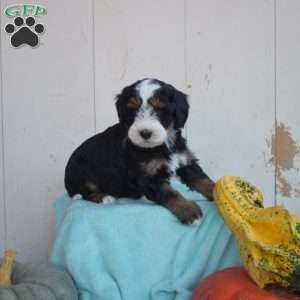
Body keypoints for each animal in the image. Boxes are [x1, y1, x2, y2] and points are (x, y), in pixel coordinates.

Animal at [65, 78, 214, 224]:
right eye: (133, 110)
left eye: (160, 109)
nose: (145, 133)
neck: (161, 145)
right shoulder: (148, 176)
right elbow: (170, 193)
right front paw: (188, 210)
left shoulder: (184, 161)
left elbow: (203, 180)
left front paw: (216, 192)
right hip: (81, 170)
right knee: (83, 192)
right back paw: (103, 197)